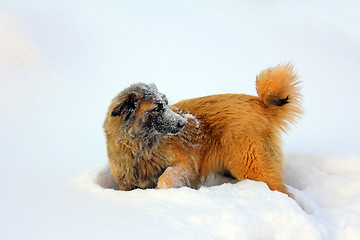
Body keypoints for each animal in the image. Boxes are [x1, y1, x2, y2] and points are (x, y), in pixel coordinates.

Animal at [103, 63, 300, 195]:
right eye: (157, 108)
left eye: (166, 104)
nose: (183, 123)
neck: (140, 149)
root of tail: (259, 102)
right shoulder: (127, 184)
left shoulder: (186, 164)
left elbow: (164, 179)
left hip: (249, 163)